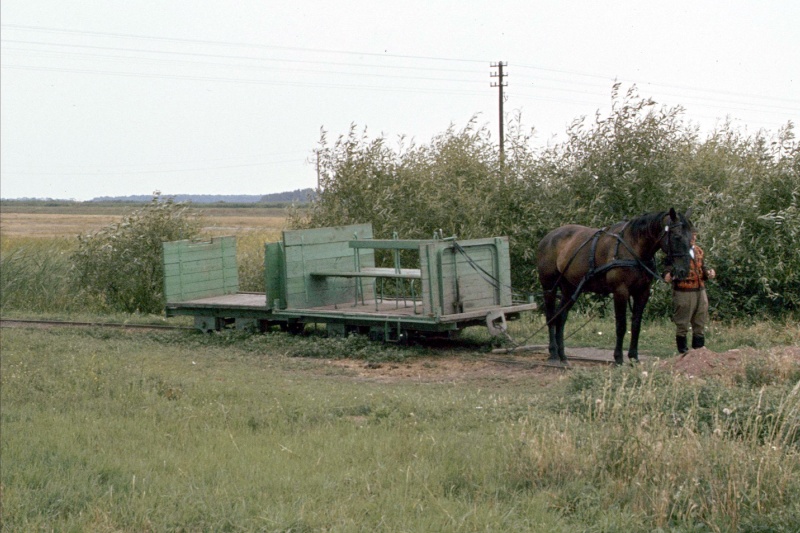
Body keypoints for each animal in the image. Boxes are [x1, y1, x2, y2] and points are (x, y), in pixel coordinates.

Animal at [536, 207, 692, 362]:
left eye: (691, 236)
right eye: (677, 236)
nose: (684, 271)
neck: (633, 247)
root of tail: (548, 237)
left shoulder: (642, 292)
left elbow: (636, 325)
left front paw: (633, 358)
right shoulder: (620, 291)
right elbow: (621, 325)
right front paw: (618, 358)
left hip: (571, 289)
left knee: (561, 317)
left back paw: (562, 355)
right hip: (549, 287)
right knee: (551, 317)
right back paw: (553, 353)